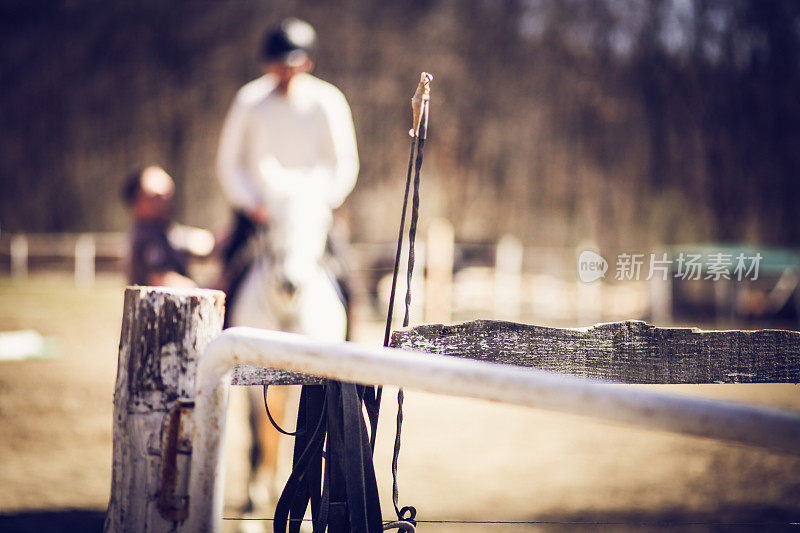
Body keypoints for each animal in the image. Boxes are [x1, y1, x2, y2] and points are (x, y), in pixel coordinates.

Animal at [228, 167, 346, 524]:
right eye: (271, 221)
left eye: (323, 222)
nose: (290, 282)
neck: (286, 309)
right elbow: (257, 438)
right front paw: (254, 496)